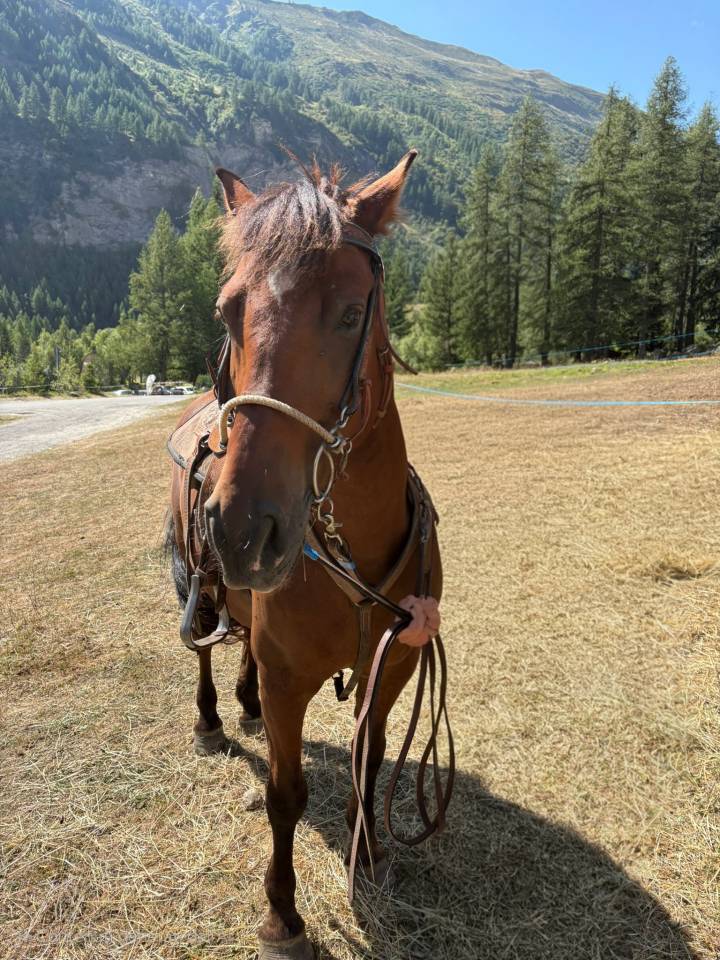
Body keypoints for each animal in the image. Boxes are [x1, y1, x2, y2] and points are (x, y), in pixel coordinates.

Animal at [166, 151, 449, 959]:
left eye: (351, 313)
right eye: (227, 311)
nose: (240, 528)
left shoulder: (397, 665)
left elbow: (370, 763)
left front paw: (372, 856)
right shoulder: (293, 678)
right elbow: (285, 795)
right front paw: (282, 917)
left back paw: (247, 705)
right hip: (200, 586)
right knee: (206, 651)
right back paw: (213, 719)